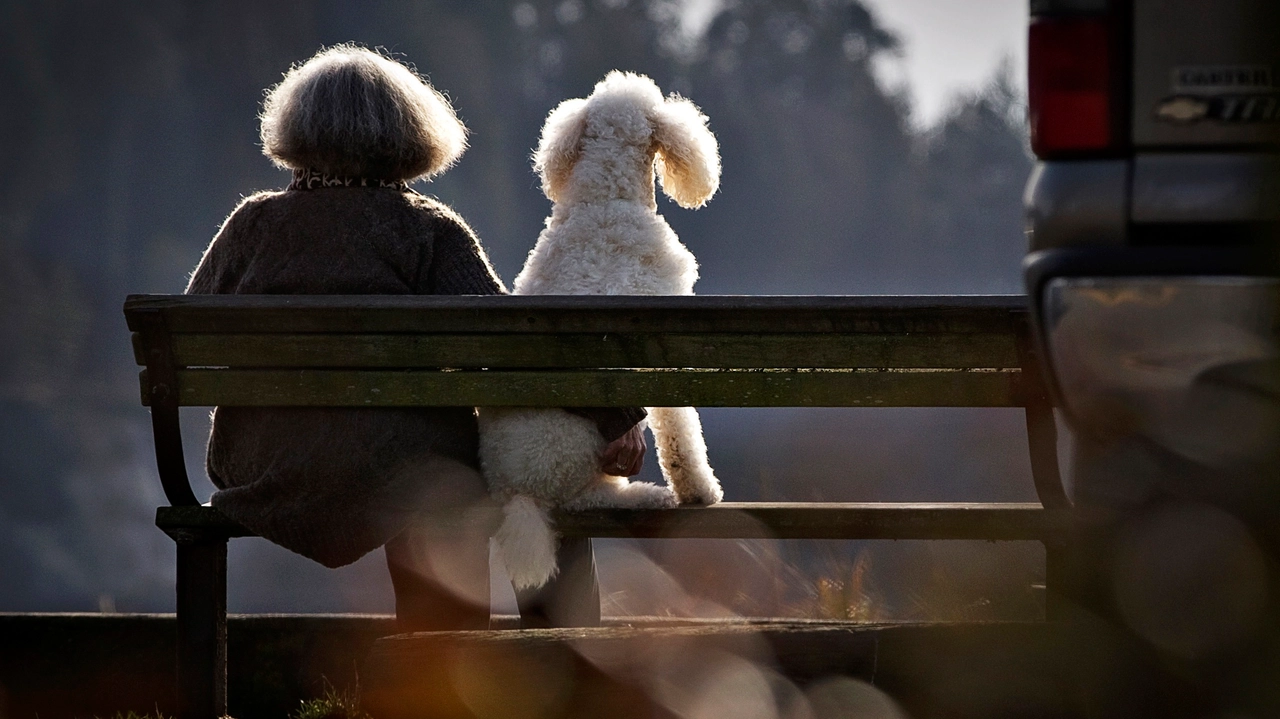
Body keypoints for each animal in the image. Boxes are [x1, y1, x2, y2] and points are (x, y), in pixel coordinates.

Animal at [478, 72, 727, 588]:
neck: (607, 198)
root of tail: (514, 494)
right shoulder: (663, 348)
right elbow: (680, 432)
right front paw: (699, 491)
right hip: (575, 451)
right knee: (581, 501)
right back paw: (644, 495)